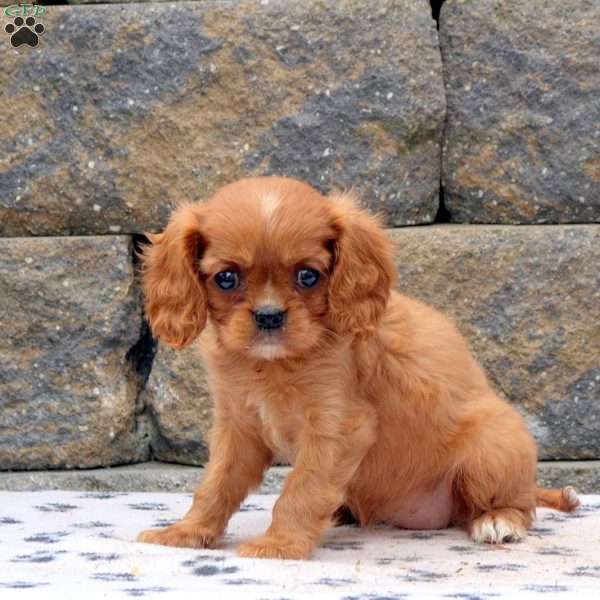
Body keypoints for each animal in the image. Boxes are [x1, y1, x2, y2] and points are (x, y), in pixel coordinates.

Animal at [136, 176, 576, 560]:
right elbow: (216, 484)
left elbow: (302, 488)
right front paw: (186, 532)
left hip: (491, 448)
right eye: (226, 278)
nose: (269, 316)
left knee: (519, 504)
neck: (273, 364)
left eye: (308, 275)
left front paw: (280, 545)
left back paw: (498, 520)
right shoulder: (238, 426)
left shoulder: (337, 429)